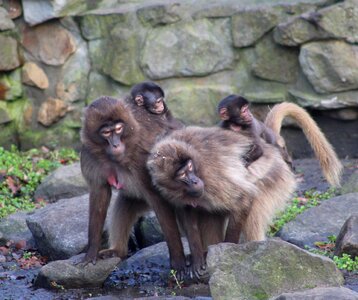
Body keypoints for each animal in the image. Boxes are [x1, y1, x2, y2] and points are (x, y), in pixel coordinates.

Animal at [80, 95, 189, 276]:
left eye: (118, 129)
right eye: (106, 132)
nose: (115, 145)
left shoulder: (141, 158)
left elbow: (159, 200)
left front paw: (178, 260)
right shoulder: (89, 156)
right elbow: (99, 195)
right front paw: (91, 251)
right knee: (125, 204)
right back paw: (118, 251)